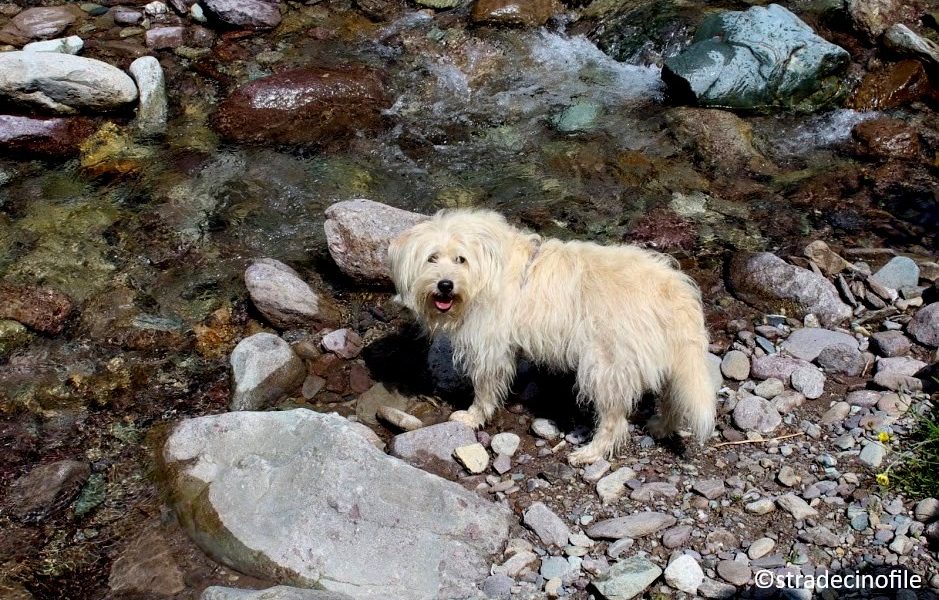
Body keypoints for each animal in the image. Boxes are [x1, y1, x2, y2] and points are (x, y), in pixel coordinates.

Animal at [386, 209, 716, 466]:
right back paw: (661, 427)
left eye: (460, 259)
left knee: (614, 421)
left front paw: (472, 416)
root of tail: (674, 288)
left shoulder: (488, 346)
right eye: (432, 258)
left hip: (605, 365)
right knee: (674, 400)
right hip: (670, 360)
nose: (445, 285)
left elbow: (485, 387)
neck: (487, 269)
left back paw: (591, 453)